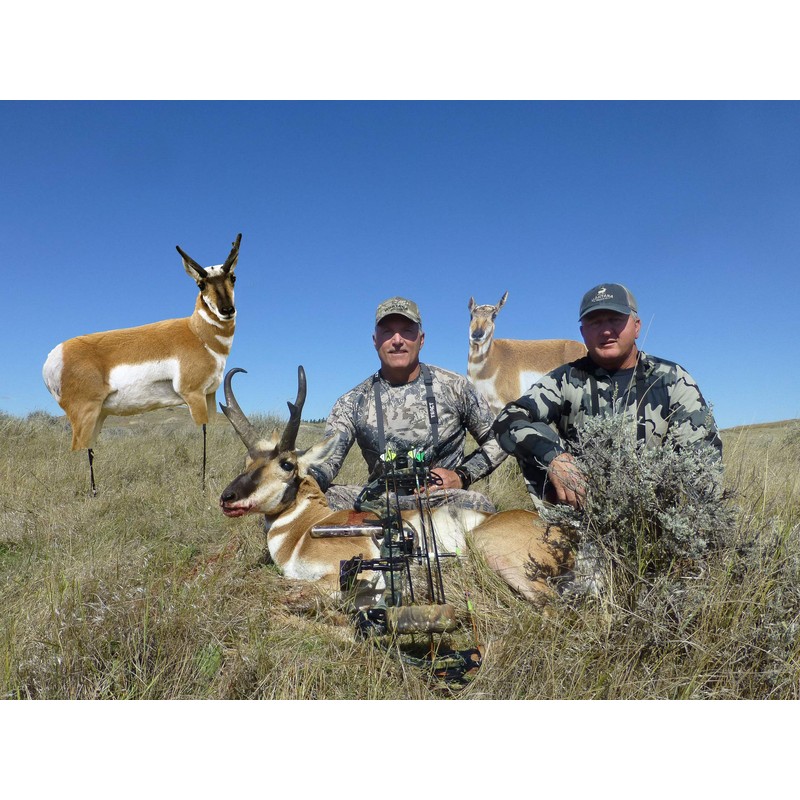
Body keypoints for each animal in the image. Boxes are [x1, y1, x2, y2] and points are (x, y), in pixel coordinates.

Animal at [42, 233, 242, 495]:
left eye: (233, 277)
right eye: (201, 284)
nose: (226, 310)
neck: (196, 332)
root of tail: (54, 356)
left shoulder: (210, 395)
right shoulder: (193, 394)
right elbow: (203, 434)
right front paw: (202, 487)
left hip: (99, 415)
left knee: (89, 448)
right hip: (85, 414)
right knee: (78, 447)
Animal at [218, 366, 574, 611]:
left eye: (287, 464)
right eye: (248, 461)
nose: (227, 498)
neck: (304, 529)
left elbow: (308, 592)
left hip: (490, 551)